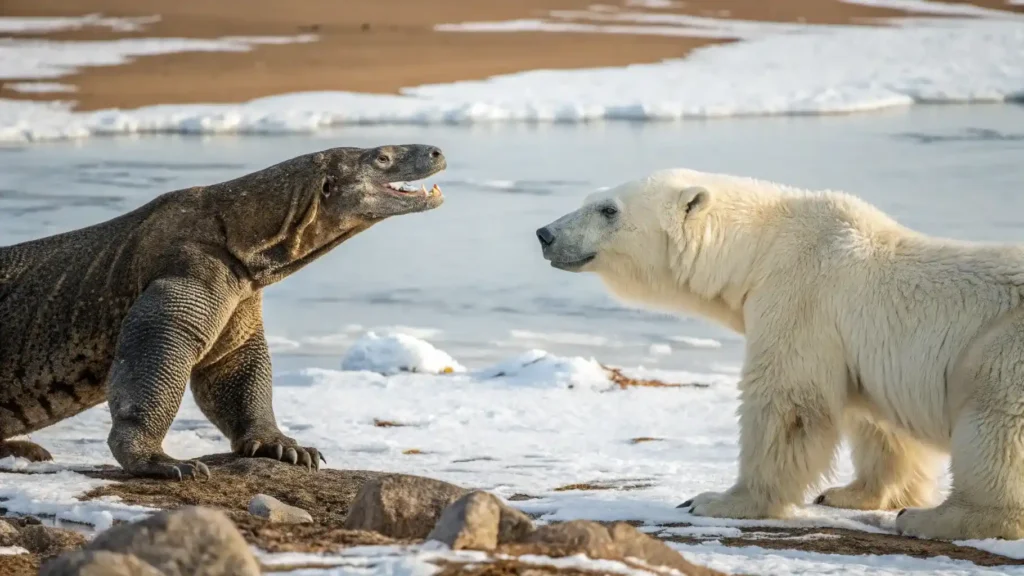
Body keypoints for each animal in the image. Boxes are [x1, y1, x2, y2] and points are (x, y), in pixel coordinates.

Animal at [534, 168, 1024, 541]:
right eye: (591, 198)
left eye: (608, 209)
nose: (544, 233)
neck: (762, 248)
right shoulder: (858, 344)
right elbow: (878, 422)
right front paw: (853, 493)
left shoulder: (800, 297)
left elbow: (787, 404)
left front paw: (718, 500)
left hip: (1002, 349)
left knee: (994, 425)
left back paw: (938, 519)